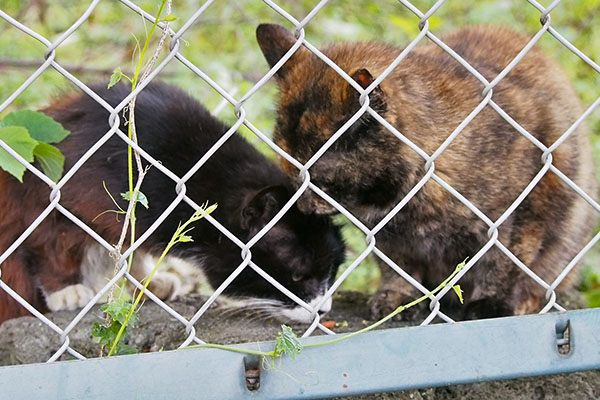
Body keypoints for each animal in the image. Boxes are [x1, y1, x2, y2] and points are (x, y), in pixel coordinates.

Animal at [0, 81, 344, 324]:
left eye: (332, 272)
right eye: (298, 276)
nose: (323, 310)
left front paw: (144, 282)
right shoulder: (62, 183)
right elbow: (51, 237)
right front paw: (64, 288)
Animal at [255, 23, 596, 320]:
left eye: (321, 181)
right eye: (291, 172)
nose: (303, 208)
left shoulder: (525, 204)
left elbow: (504, 259)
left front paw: (492, 302)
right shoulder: (387, 235)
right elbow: (397, 265)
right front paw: (398, 297)